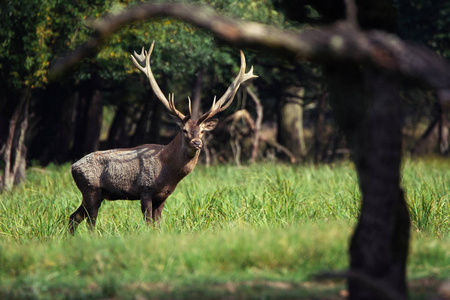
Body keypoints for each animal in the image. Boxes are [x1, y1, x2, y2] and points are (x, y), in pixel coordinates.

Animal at [68, 41, 255, 234]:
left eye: (202, 131)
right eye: (184, 130)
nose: (197, 143)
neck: (168, 171)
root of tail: (73, 167)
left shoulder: (163, 195)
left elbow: (157, 225)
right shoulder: (145, 189)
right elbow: (148, 223)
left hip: (94, 193)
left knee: (74, 217)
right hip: (91, 189)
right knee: (89, 222)